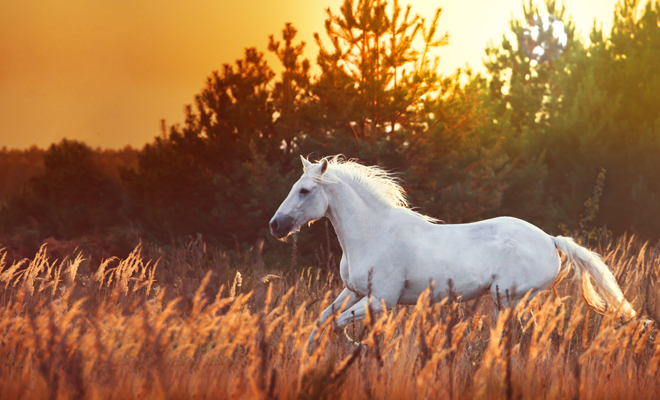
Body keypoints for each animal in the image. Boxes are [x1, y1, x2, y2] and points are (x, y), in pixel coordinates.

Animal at [268, 156, 636, 344]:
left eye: (304, 190)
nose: (276, 225)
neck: (373, 234)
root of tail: (550, 239)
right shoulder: (354, 291)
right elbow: (323, 320)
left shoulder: (381, 300)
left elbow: (339, 323)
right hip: (507, 302)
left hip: (507, 298)